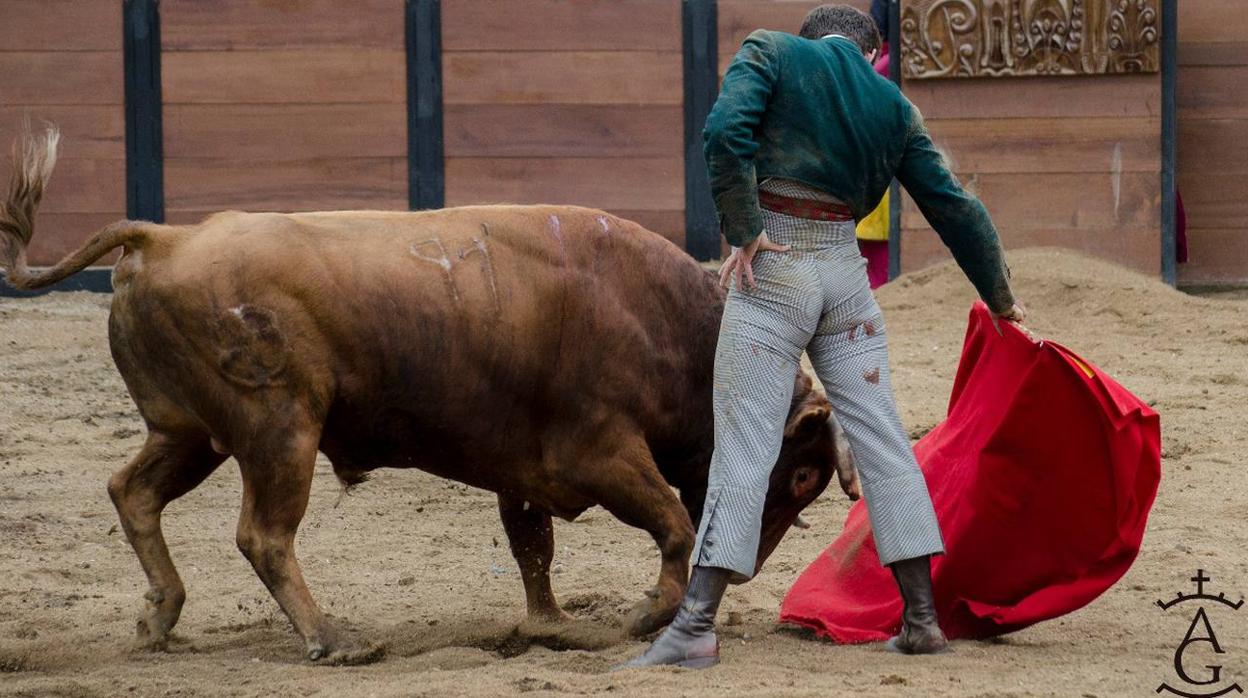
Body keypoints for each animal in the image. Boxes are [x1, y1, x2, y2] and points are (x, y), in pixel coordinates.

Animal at [0, 126, 858, 664]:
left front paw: (549, 626)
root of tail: (164, 235)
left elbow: (532, 547)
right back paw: (336, 640)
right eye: (802, 472)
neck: (665, 320)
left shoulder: (524, 470)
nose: (744, 574)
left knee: (133, 491)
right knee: (263, 536)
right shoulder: (601, 453)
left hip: (189, 432)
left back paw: (160, 616)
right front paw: (647, 613)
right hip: (280, 429)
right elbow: (675, 525)